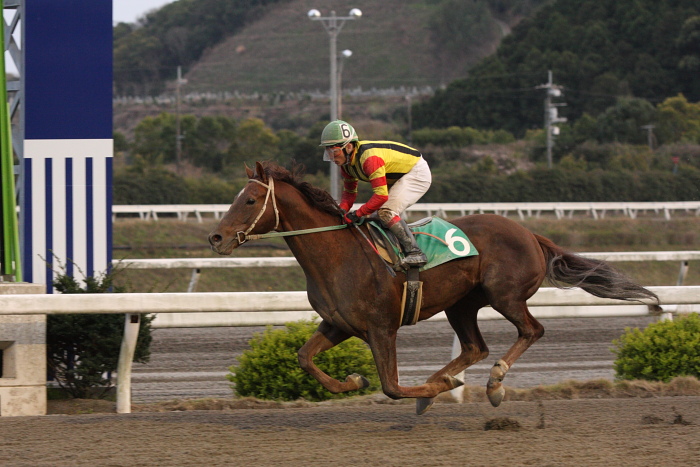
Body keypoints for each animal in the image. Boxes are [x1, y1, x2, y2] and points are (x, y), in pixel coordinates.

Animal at [211, 163, 660, 414]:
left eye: (249, 200)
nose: (216, 238)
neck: (338, 255)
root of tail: (530, 233)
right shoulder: (339, 324)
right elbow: (305, 358)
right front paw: (354, 382)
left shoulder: (381, 327)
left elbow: (392, 387)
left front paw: (433, 388)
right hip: (460, 304)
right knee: (475, 347)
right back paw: (446, 383)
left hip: (505, 295)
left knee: (531, 331)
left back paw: (492, 384)